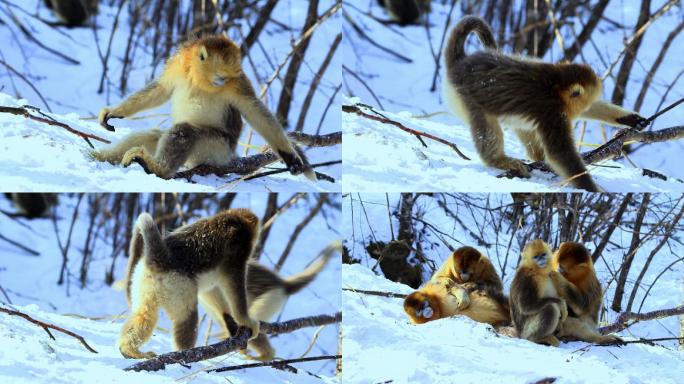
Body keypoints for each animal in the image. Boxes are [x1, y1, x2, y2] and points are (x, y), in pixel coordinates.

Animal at [91, 34, 316, 180]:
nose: (223, 81)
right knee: (151, 135)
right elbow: (160, 90)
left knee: (185, 131)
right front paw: (115, 111)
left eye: (227, 77)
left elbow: (256, 112)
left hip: (217, 150)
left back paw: (157, 169)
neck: (199, 80)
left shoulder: (237, 84)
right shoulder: (178, 65)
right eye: (220, 74)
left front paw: (290, 156)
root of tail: (230, 157)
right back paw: (102, 156)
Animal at [120, 208, 262, 358]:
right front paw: (246, 321)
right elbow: (234, 284)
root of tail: (161, 260)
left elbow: (210, 291)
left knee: (145, 314)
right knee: (188, 316)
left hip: (144, 280)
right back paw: (186, 355)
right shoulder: (238, 250)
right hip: (178, 286)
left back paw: (129, 350)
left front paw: (229, 319)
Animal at [444, 16, 648, 192]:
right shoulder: (552, 110)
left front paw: (631, 119)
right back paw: (498, 160)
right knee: (487, 126)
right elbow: (560, 153)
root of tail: (459, 65)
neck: (555, 86)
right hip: (468, 99)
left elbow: (591, 109)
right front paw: (591, 189)